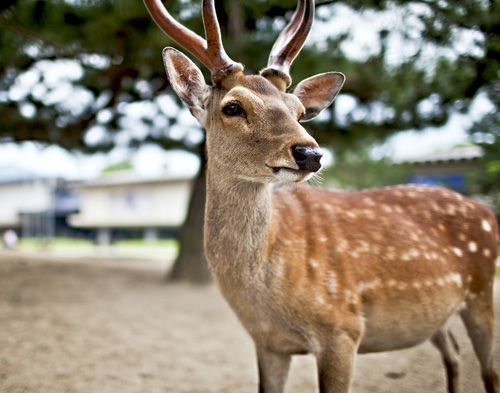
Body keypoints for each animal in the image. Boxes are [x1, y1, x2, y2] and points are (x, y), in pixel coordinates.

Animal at [143, 0, 498, 392]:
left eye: (299, 112)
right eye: (232, 107)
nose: (310, 153)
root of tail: (487, 211)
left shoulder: (342, 327)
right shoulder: (268, 342)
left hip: (483, 292)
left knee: (489, 368)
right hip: (437, 316)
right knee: (453, 352)